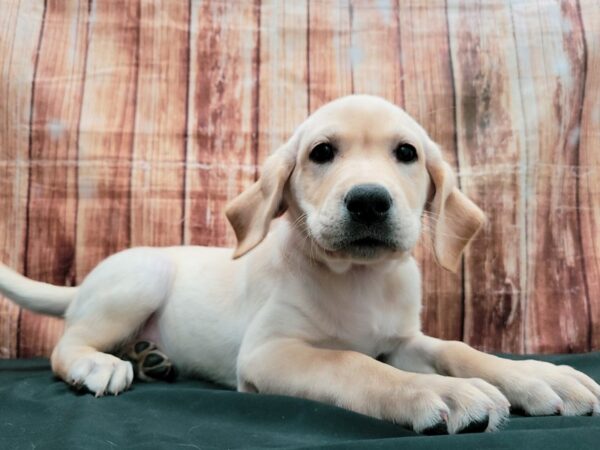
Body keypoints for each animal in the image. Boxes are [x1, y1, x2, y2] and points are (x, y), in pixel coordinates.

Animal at [1, 94, 600, 432]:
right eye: (321, 153)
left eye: (406, 153)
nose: (368, 201)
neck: (358, 280)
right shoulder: (271, 352)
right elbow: (352, 364)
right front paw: (438, 392)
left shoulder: (403, 340)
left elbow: (458, 348)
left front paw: (538, 377)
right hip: (140, 279)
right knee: (66, 345)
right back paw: (101, 365)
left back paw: (151, 357)